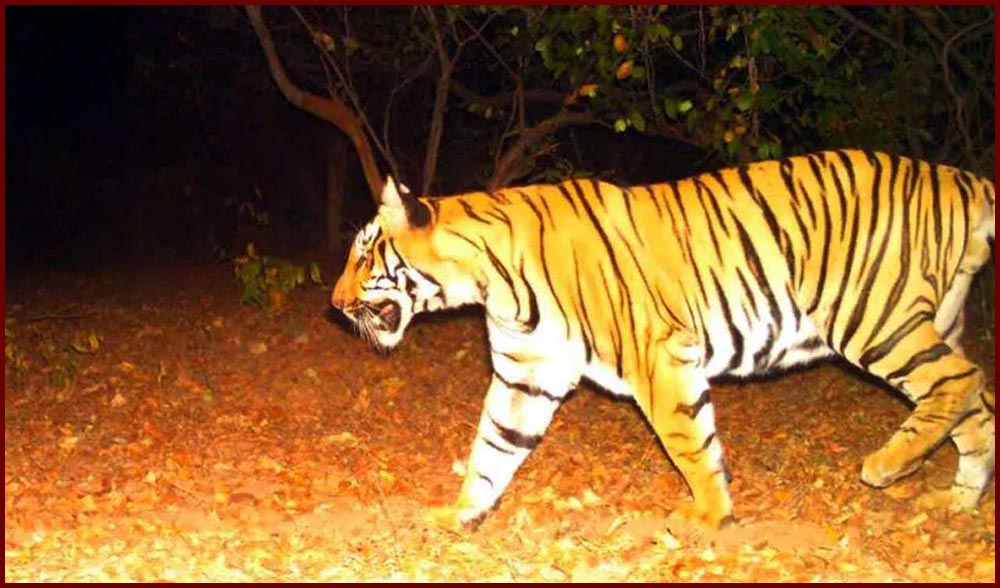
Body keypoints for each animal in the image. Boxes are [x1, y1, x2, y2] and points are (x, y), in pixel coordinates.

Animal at [331, 149, 995, 530]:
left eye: (364, 255)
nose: (333, 305)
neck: (489, 282)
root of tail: (959, 177)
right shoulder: (527, 375)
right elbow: (493, 447)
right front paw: (460, 513)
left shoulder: (659, 357)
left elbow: (689, 441)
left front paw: (708, 515)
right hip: (936, 319)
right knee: (976, 403)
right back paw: (958, 503)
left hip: (873, 316)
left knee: (961, 380)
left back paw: (885, 466)